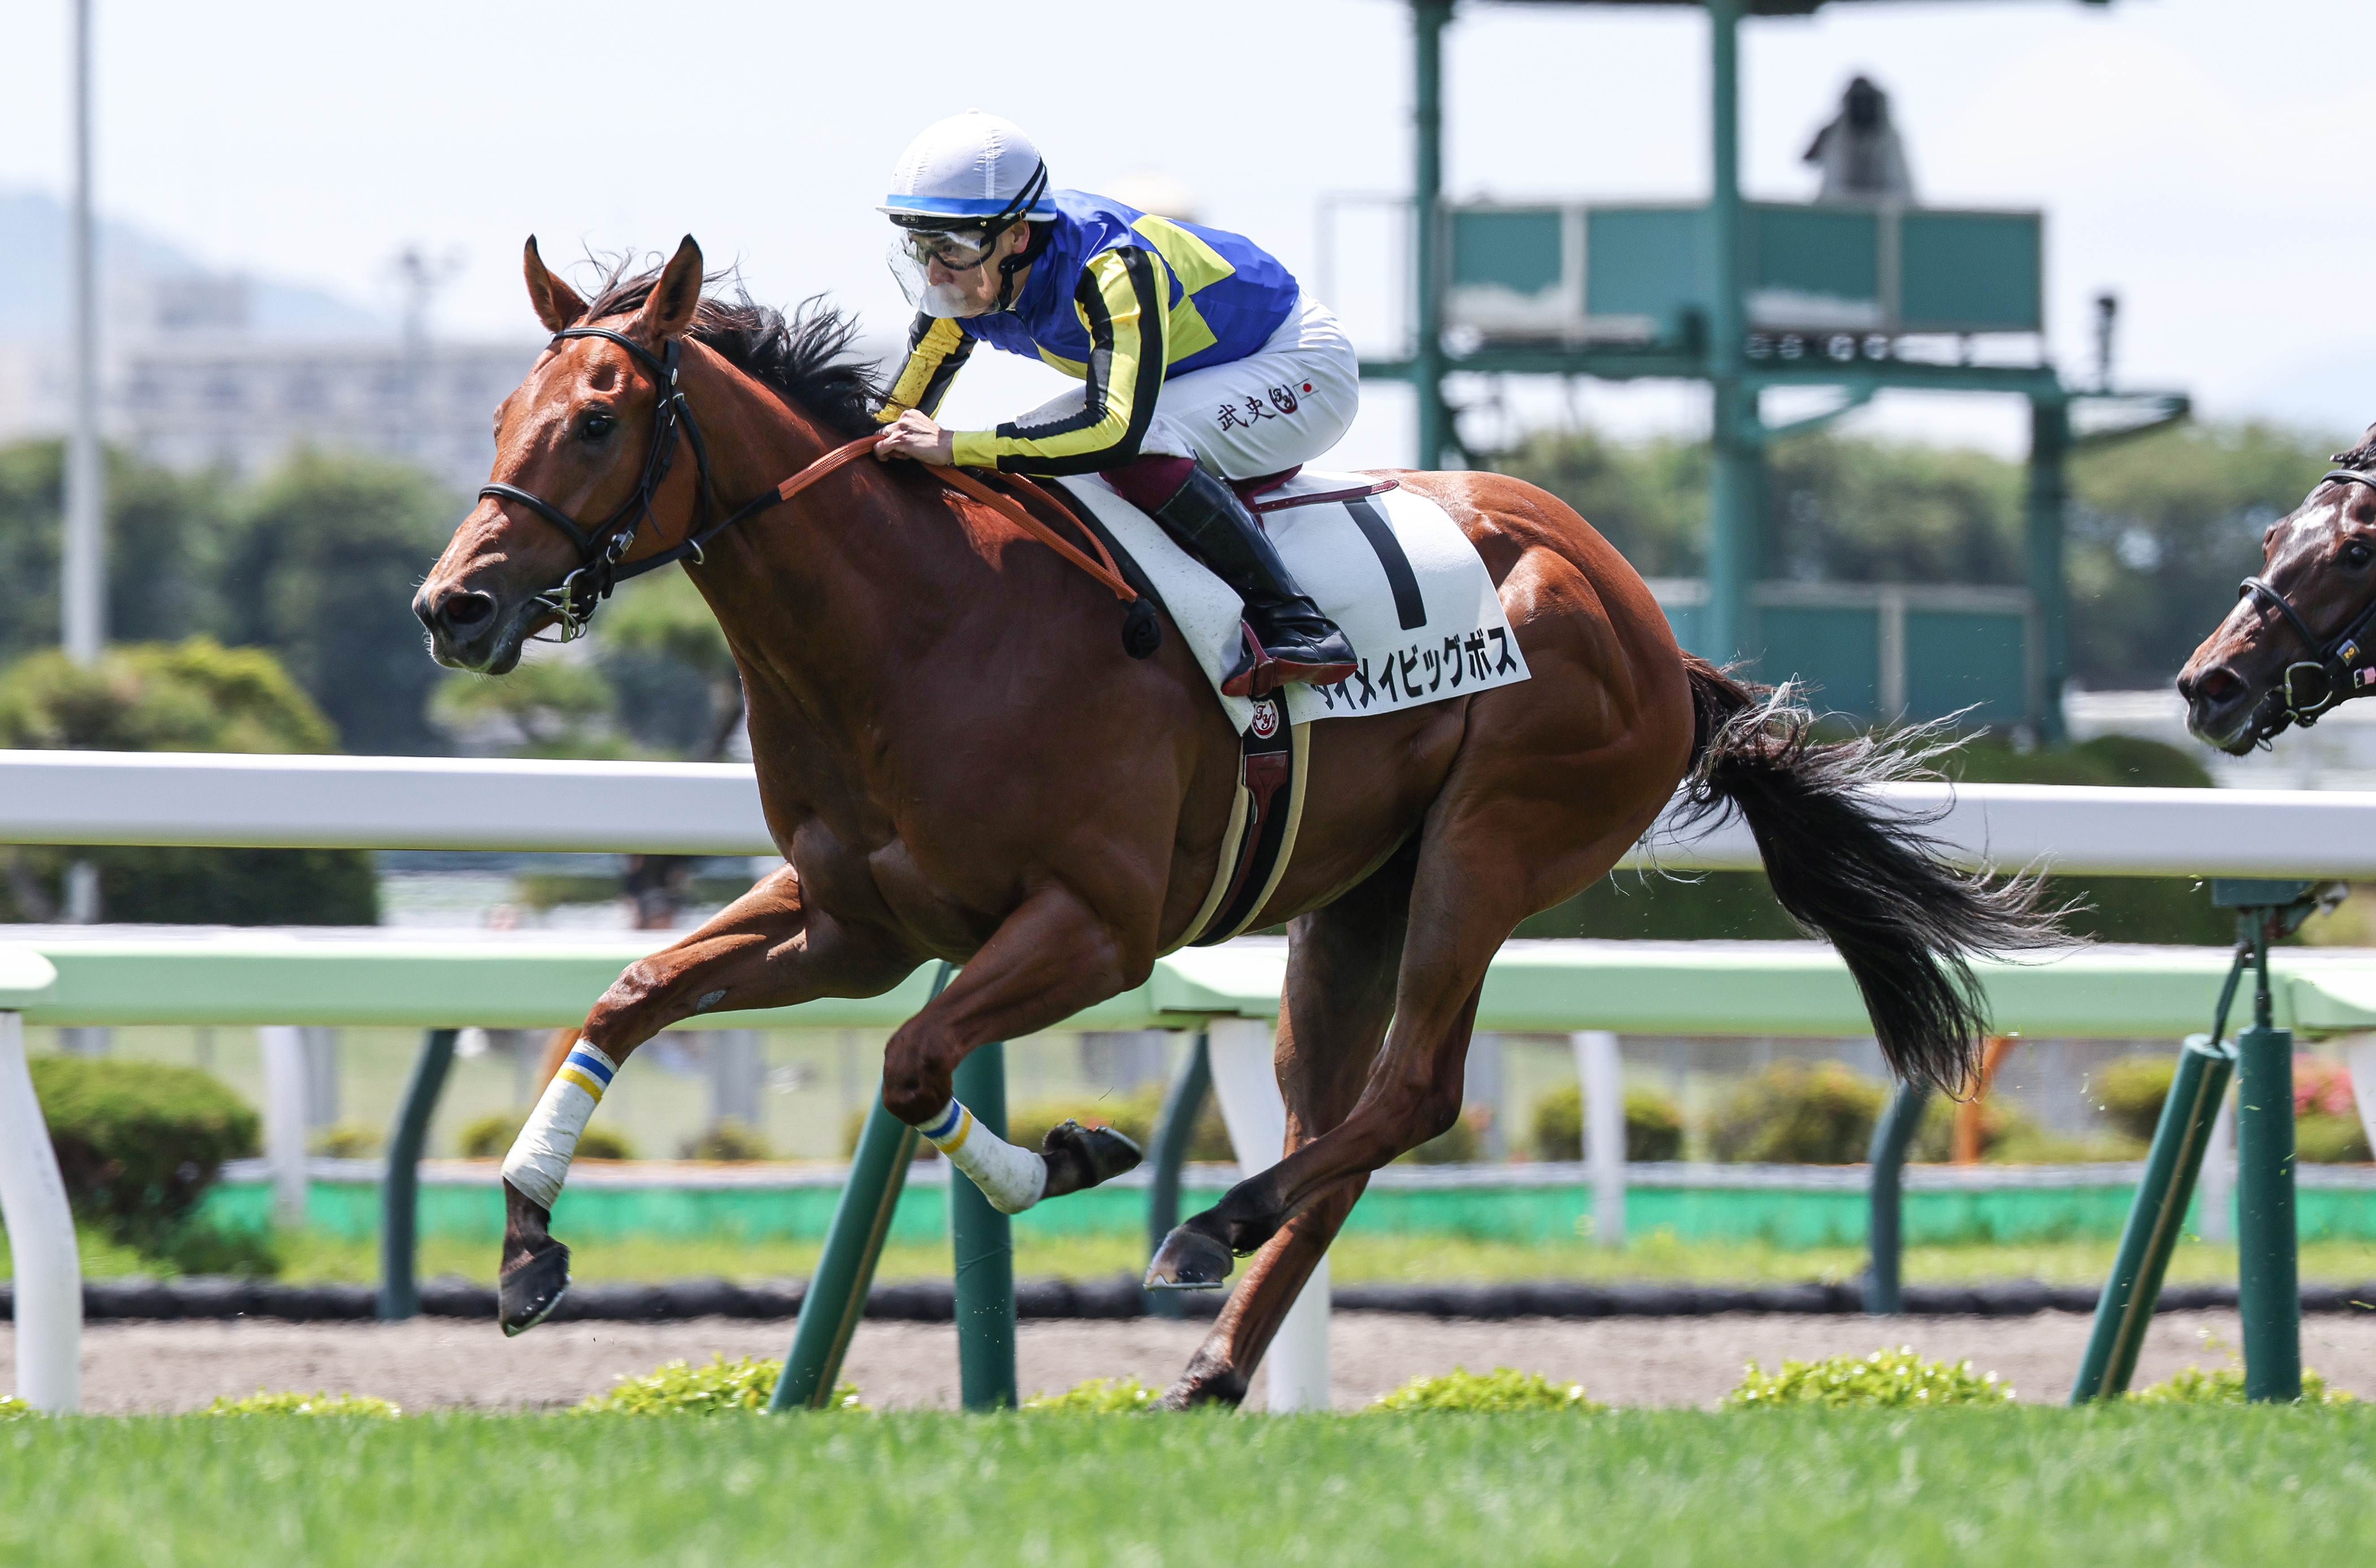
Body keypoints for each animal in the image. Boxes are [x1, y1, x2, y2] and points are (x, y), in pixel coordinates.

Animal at [415, 235, 2051, 1407]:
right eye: (499, 412)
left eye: (599, 421)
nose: (454, 606)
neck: (915, 629)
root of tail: (1644, 618)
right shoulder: (849, 922)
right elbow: (632, 992)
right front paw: (525, 1244)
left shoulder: (1096, 925)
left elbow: (914, 1060)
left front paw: (1072, 1156)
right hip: (1357, 900)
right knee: (1345, 1129)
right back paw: (1212, 1361)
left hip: (1492, 846)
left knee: (1416, 1095)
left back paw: (1210, 1229)